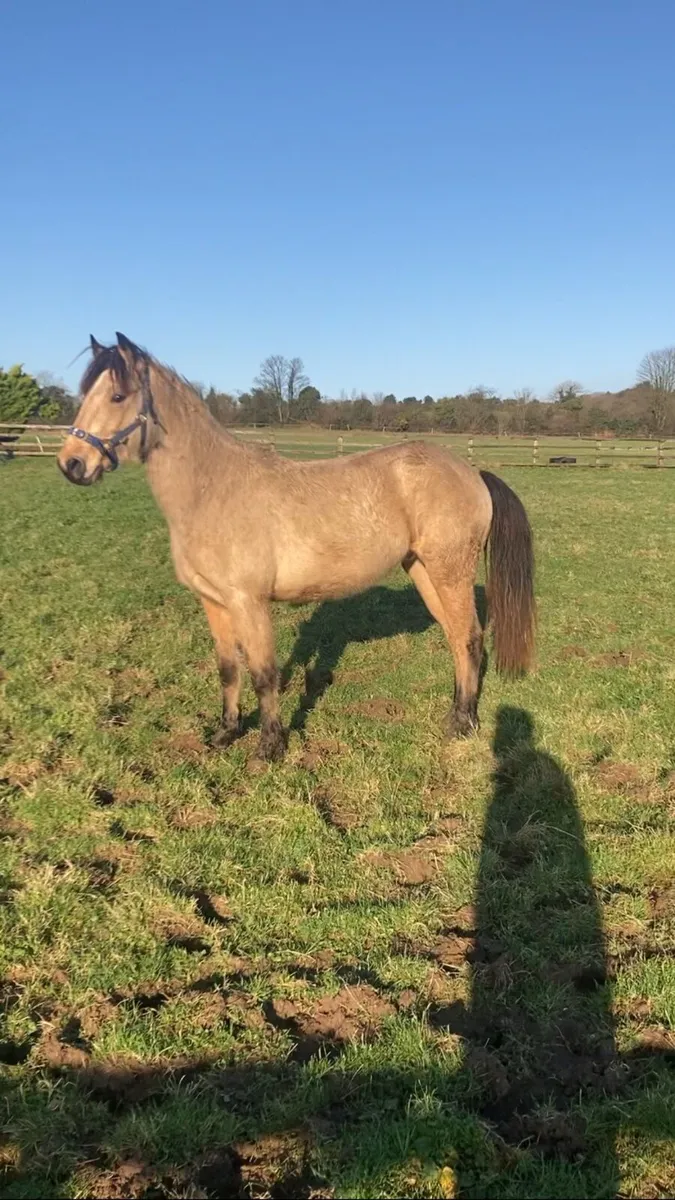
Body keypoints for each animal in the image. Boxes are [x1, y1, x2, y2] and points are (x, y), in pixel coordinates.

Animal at [58, 334, 535, 761]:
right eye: (85, 393)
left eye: (118, 395)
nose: (72, 464)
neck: (212, 489)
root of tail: (471, 472)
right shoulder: (214, 603)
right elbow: (228, 669)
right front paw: (226, 733)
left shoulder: (249, 602)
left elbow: (264, 675)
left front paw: (269, 748)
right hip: (423, 571)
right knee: (457, 638)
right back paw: (456, 714)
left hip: (449, 572)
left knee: (470, 638)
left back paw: (463, 723)